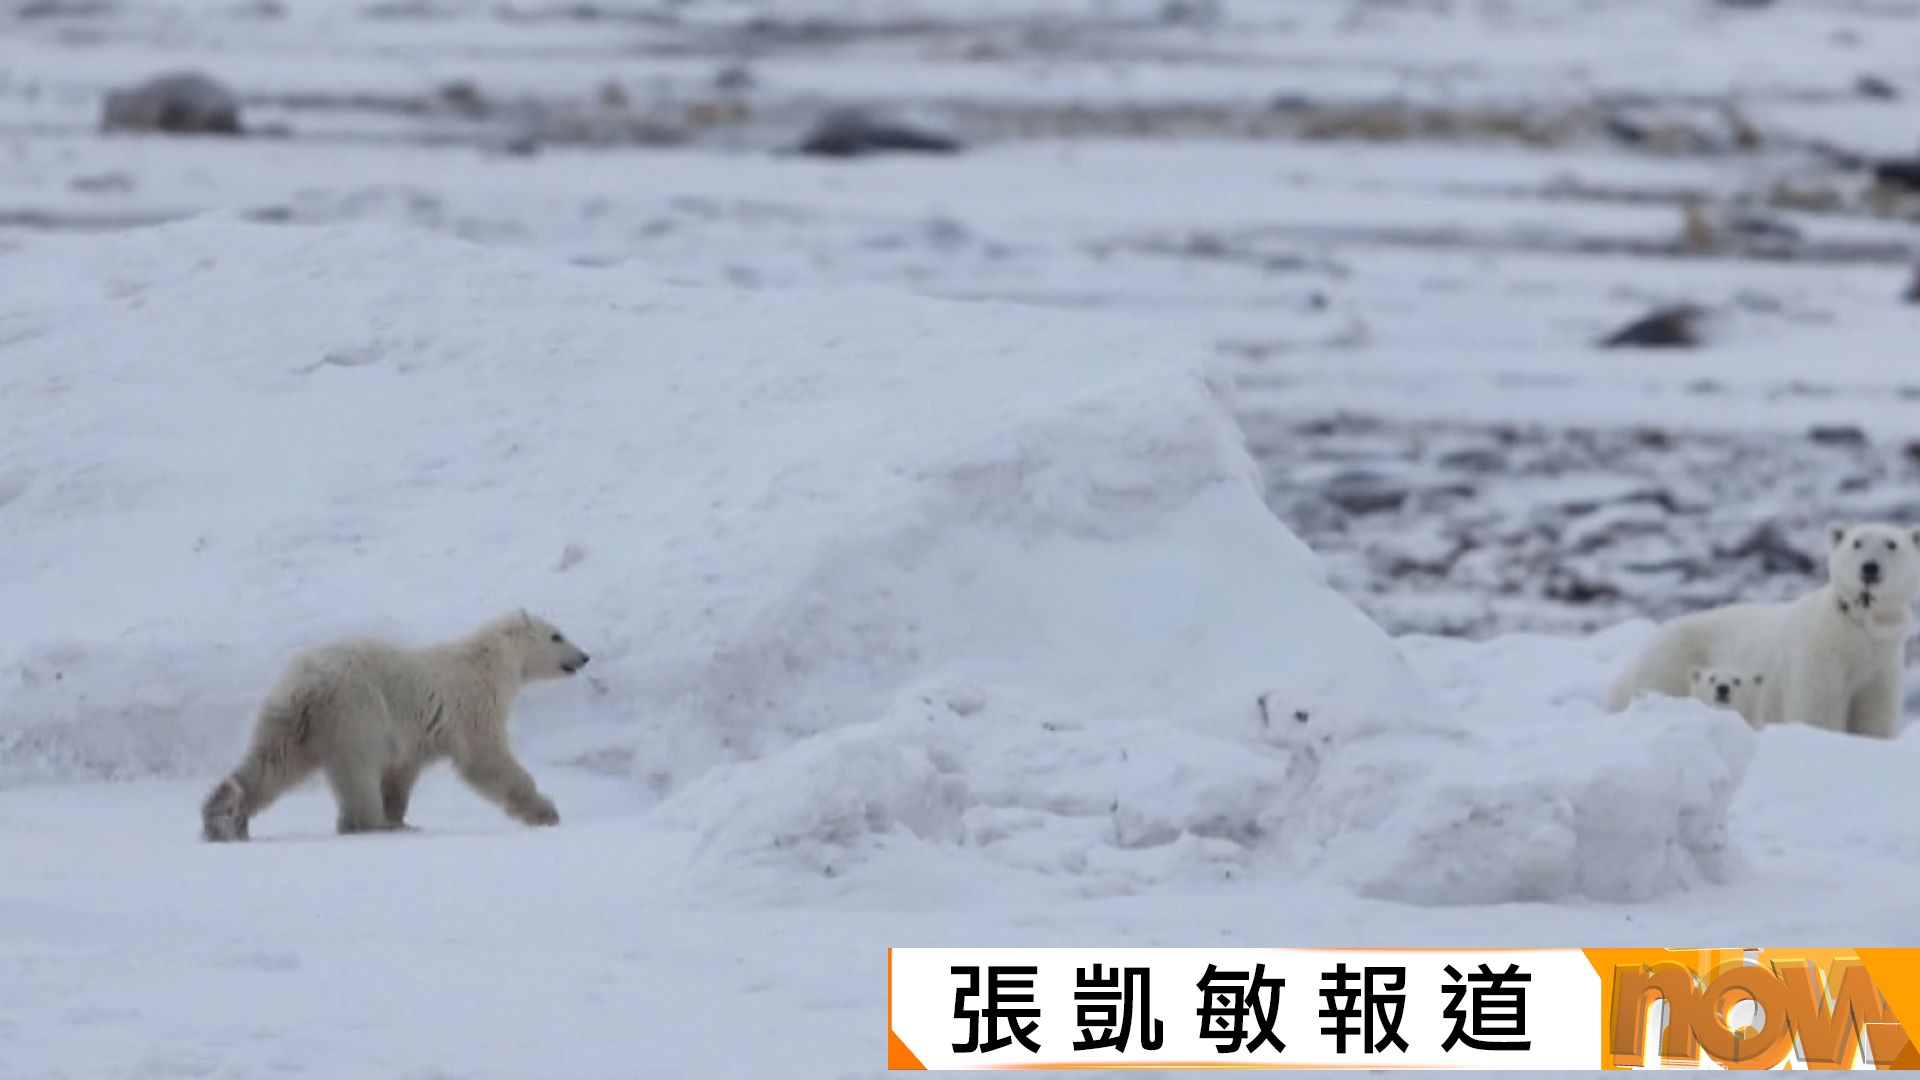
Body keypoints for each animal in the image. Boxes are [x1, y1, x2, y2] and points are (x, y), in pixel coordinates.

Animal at [200, 610, 590, 842]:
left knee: (272, 762)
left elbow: (401, 775)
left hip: (290, 718)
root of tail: (304, 684)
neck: (491, 661)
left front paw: (401, 816)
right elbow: (485, 758)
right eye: (557, 635)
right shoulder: (473, 704)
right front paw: (546, 812)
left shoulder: (416, 737)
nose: (585, 657)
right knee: (357, 769)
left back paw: (224, 817)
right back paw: (370, 823)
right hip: (355, 712)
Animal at [1606, 522, 1918, 738]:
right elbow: (1816, 707)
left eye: (1891, 544)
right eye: (1857, 543)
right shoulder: (1819, 657)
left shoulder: (1882, 661)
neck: (1854, 627)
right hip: (1671, 666)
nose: (1869, 568)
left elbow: (1874, 713)